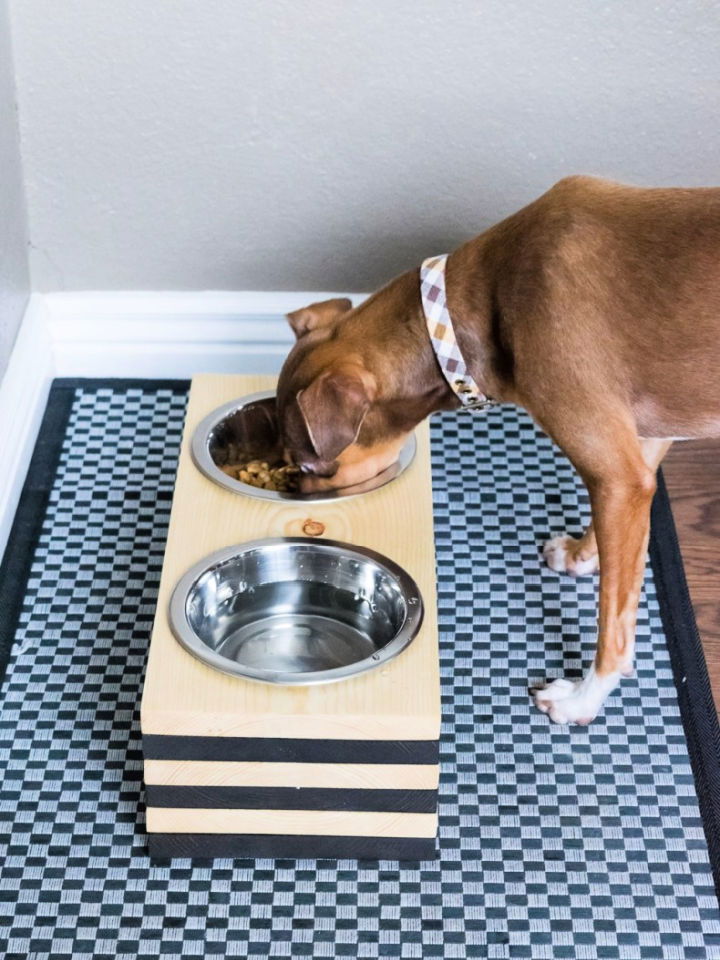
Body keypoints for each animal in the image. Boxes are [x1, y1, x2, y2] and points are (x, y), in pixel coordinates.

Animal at [274, 176, 720, 724]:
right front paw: (582, 553)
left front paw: (585, 697)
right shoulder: (641, 447)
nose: (297, 495)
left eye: (311, 464)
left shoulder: (618, 475)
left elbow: (613, 623)